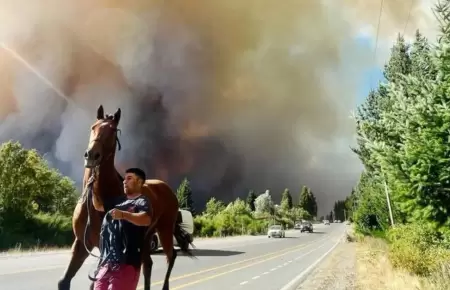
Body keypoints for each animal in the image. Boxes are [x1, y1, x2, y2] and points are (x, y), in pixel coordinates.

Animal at [57, 105, 194, 290]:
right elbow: (64, 281)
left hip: (164, 230)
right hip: (146, 238)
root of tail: (167, 189)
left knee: (170, 257)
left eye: (113, 130)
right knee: (148, 264)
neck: (97, 200)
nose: (91, 155)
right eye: (93, 127)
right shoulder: (80, 244)